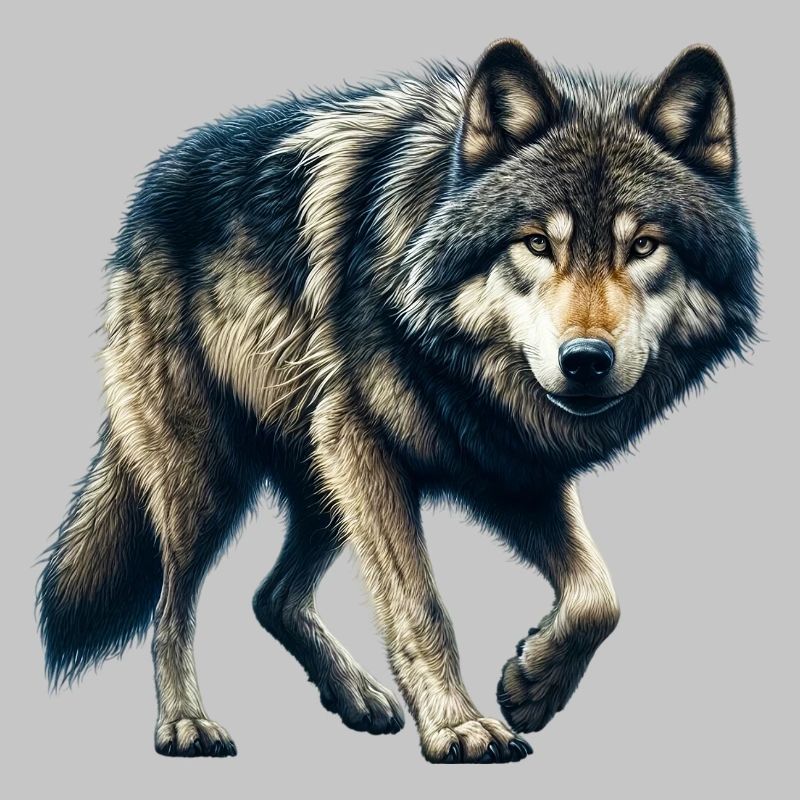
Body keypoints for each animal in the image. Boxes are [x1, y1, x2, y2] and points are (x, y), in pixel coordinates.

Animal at [37, 39, 759, 763]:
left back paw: (354, 695)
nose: (585, 361)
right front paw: (459, 727)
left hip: (323, 482)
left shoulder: (511, 469)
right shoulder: (367, 444)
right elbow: (419, 605)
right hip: (213, 480)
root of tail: (151, 185)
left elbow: (599, 597)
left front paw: (533, 686)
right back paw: (186, 723)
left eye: (643, 246)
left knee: (272, 597)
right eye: (536, 243)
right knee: (170, 608)